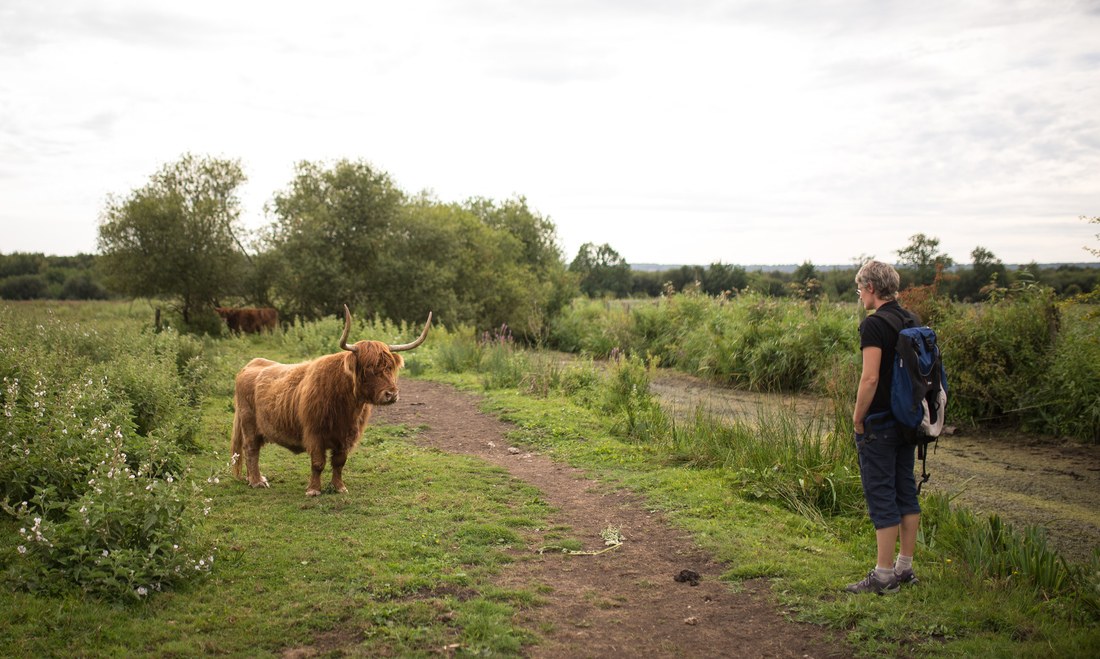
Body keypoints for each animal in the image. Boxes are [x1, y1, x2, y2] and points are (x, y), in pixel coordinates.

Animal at [231, 305, 429, 497]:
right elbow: (318, 463)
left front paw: (339, 487)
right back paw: (257, 481)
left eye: (389, 367)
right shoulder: (315, 433)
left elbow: (339, 462)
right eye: (368, 369)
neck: (346, 405)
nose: (391, 394)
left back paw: (252, 479)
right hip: (248, 423)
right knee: (251, 449)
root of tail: (251, 364)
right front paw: (313, 490)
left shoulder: (347, 435)